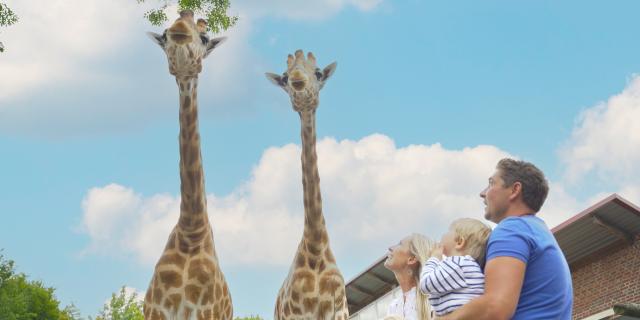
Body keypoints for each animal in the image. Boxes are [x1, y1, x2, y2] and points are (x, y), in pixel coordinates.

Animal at [144, 10, 234, 320]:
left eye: (204, 37)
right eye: (164, 34)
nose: (180, 27)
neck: (190, 234)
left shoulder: (205, 313)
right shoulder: (156, 313)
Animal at [264, 50, 348, 320]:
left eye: (318, 73)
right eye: (284, 77)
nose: (298, 80)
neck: (316, 247)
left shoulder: (340, 311)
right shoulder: (296, 315)